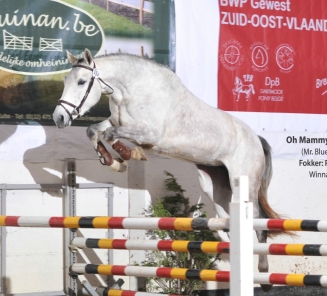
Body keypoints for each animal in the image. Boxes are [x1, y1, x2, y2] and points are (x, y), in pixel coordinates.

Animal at [53, 49, 282, 290]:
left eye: (81, 81)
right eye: (66, 80)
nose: (59, 117)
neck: (131, 90)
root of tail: (256, 139)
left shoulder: (149, 134)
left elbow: (111, 134)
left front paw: (126, 156)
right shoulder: (117, 122)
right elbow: (94, 130)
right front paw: (114, 161)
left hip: (244, 182)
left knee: (259, 224)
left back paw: (264, 275)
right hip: (216, 187)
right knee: (227, 223)